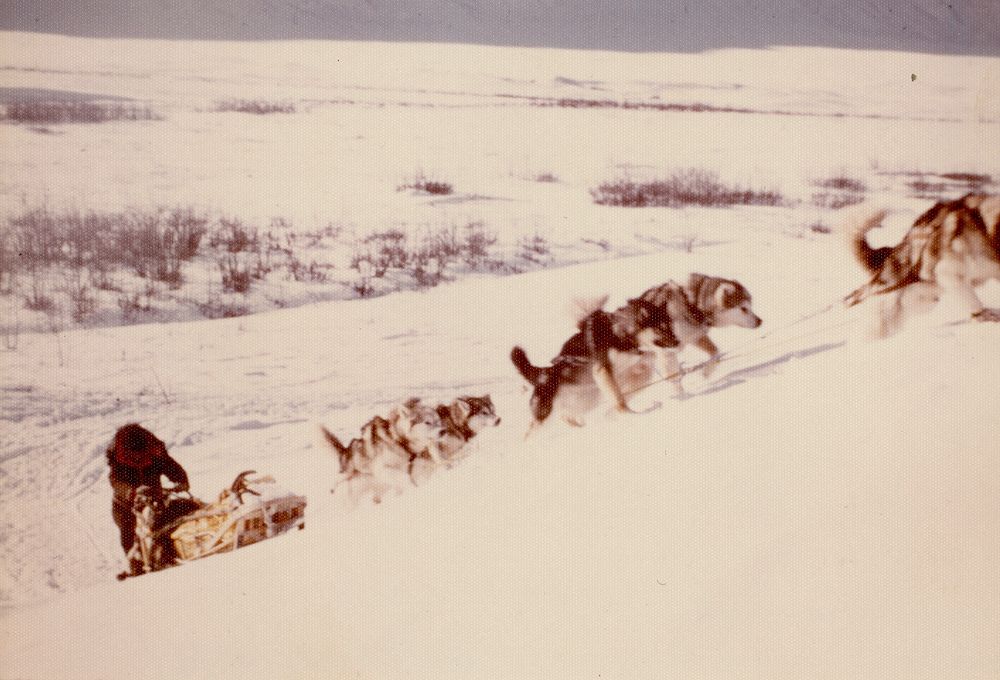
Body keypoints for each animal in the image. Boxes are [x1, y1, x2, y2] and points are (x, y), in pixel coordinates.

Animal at [844, 194, 1000, 338]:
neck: (984, 226)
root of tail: (889, 254)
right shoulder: (949, 273)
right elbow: (974, 302)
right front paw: (984, 315)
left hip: (922, 301)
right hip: (888, 312)